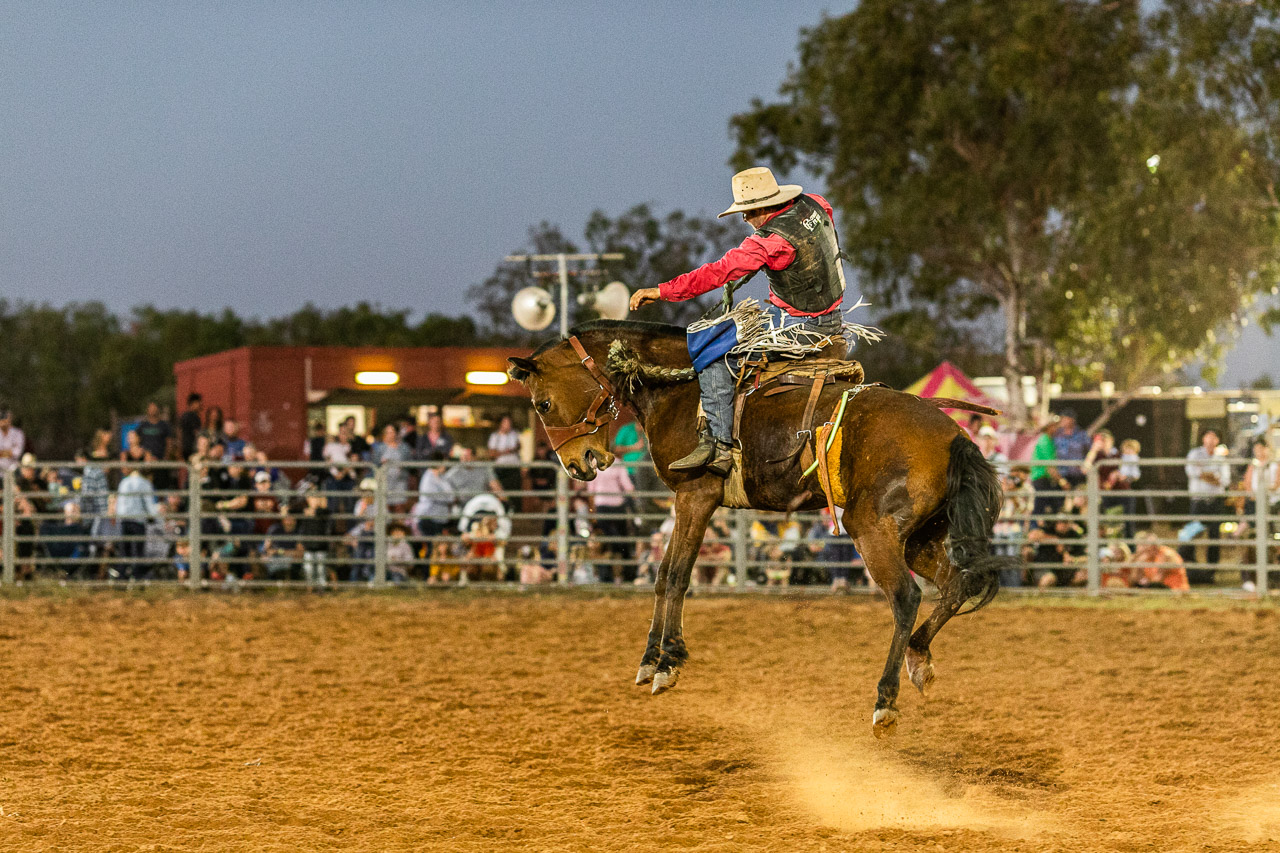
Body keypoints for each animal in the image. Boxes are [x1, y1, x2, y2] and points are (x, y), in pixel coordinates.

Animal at [504, 318, 1013, 737]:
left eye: (543, 403)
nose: (578, 464)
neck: (680, 390)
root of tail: (953, 434)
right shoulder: (690, 499)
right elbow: (665, 574)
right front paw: (653, 660)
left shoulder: (696, 494)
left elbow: (676, 574)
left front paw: (667, 661)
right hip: (921, 536)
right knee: (955, 583)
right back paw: (919, 658)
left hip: (873, 530)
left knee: (907, 597)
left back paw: (885, 700)